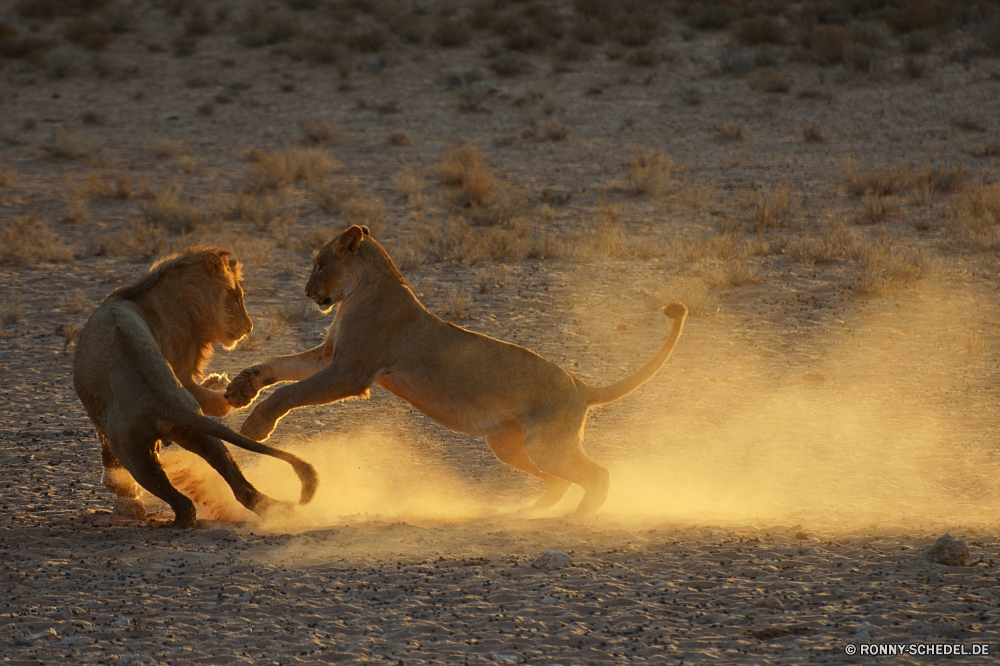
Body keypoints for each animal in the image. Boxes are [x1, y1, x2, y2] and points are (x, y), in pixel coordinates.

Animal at [74, 246, 316, 528]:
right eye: (236, 299)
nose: (248, 328)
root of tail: (164, 399)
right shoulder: (183, 374)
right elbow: (218, 404)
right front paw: (228, 387)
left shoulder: (181, 368)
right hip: (201, 434)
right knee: (242, 489)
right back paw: (275, 511)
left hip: (133, 451)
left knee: (182, 503)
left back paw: (171, 522)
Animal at [226, 226, 684, 516]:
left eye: (320, 264)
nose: (307, 292)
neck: (359, 290)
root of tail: (582, 385)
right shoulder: (329, 356)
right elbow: (279, 367)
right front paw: (240, 388)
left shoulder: (351, 372)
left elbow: (289, 392)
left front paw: (256, 427)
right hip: (510, 445)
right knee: (560, 481)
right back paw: (526, 512)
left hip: (547, 443)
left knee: (597, 474)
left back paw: (582, 516)